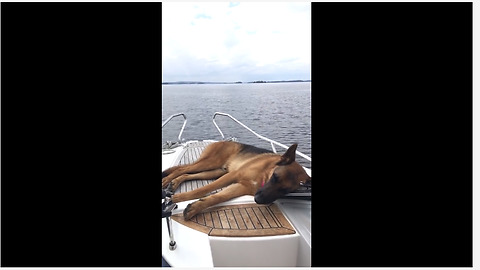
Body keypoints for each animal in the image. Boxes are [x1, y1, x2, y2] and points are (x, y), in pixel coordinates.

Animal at [161, 140, 312, 220]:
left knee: (187, 174)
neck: (264, 175)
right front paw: (178, 198)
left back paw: (174, 183)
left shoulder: (240, 186)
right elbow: (204, 189)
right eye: (275, 177)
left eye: (285, 190)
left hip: (216, 171)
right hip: (210, 163)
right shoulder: (232, 175)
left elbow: (218, 197)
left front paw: (194, 208)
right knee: (182, 169)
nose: (258, 200)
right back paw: (166, 181)